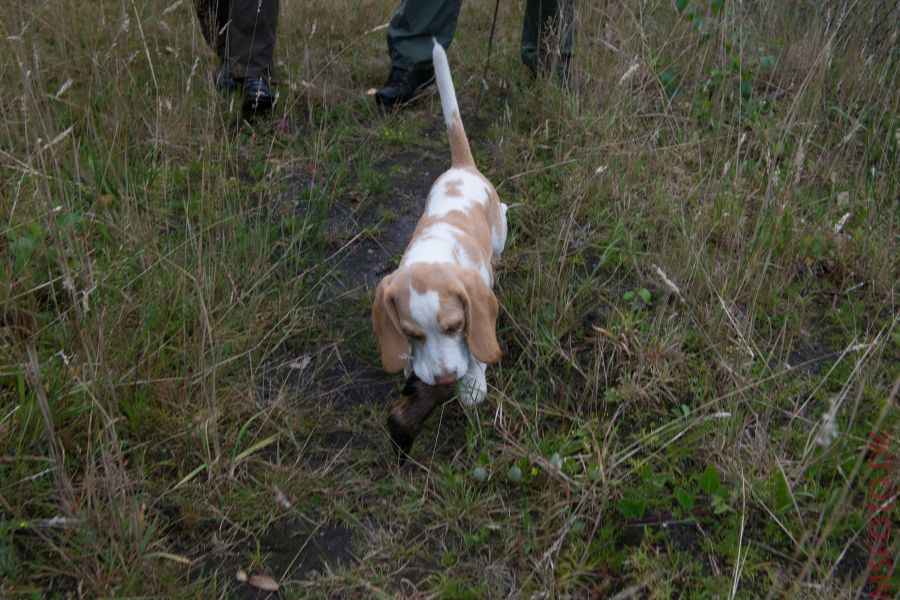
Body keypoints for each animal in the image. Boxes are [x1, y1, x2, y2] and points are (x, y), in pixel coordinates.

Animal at [370, 39, 506, 406]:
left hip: (500, 228)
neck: (432, 253)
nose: (444, 380)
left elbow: (476, 346)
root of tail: (462, 166)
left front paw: (473, 382)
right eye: (410, 333)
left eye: (454, 327)